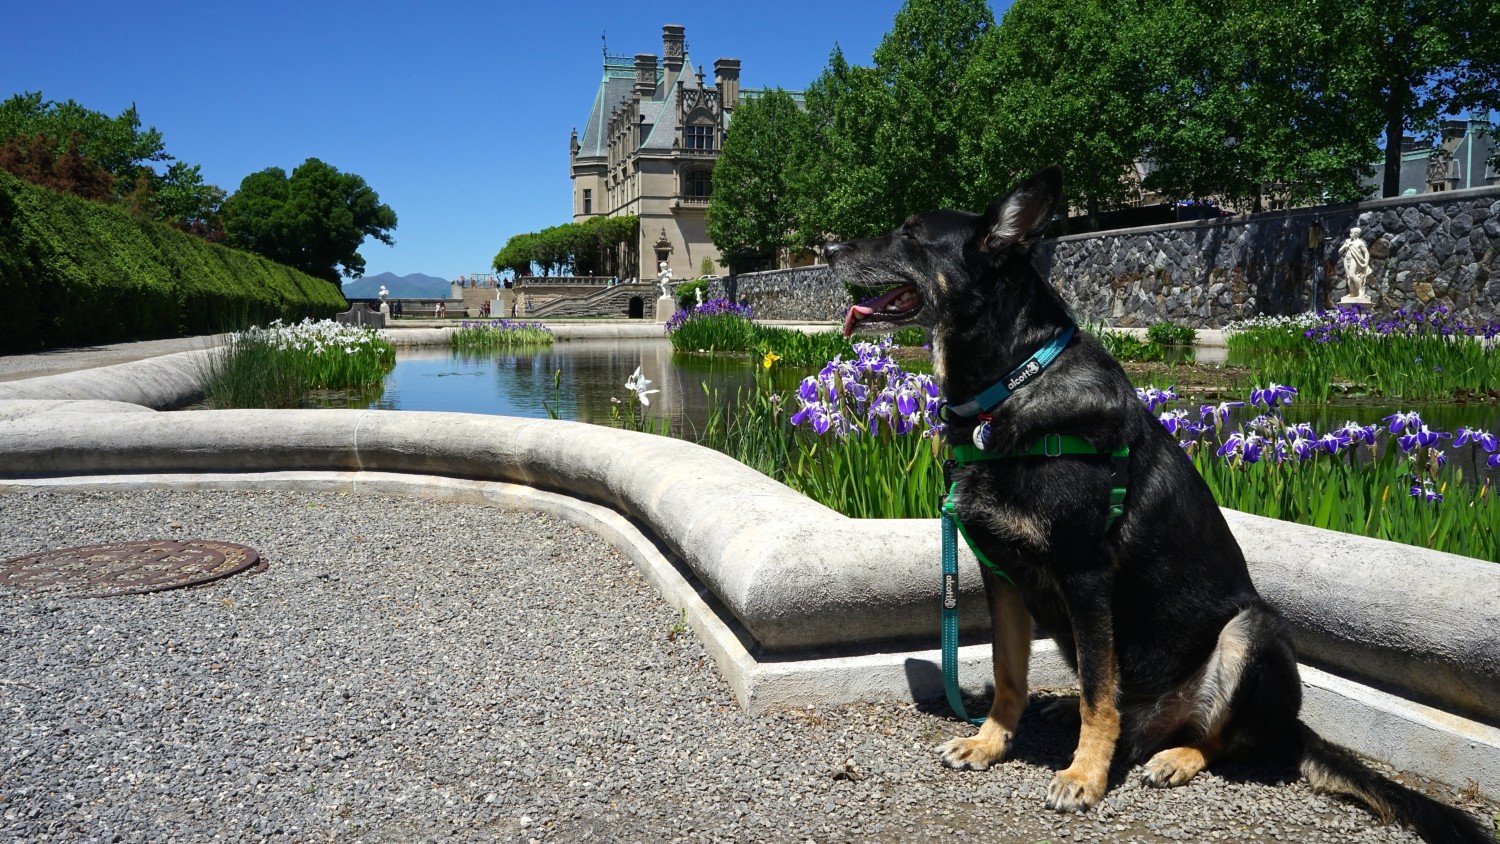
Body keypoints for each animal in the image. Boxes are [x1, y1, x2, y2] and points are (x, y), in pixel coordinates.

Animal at [828, 167, 1494, 844]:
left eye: (912, 234)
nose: (827, 250)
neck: (1011, 384)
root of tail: (1293, 725)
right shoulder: (1002, 578)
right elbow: (1009, 672)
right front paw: (990, 742)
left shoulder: (1086, 576)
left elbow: (1100, 696)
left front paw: (1085, 776)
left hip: (1251, 631)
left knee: (1225, 740)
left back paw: (1175, 758)